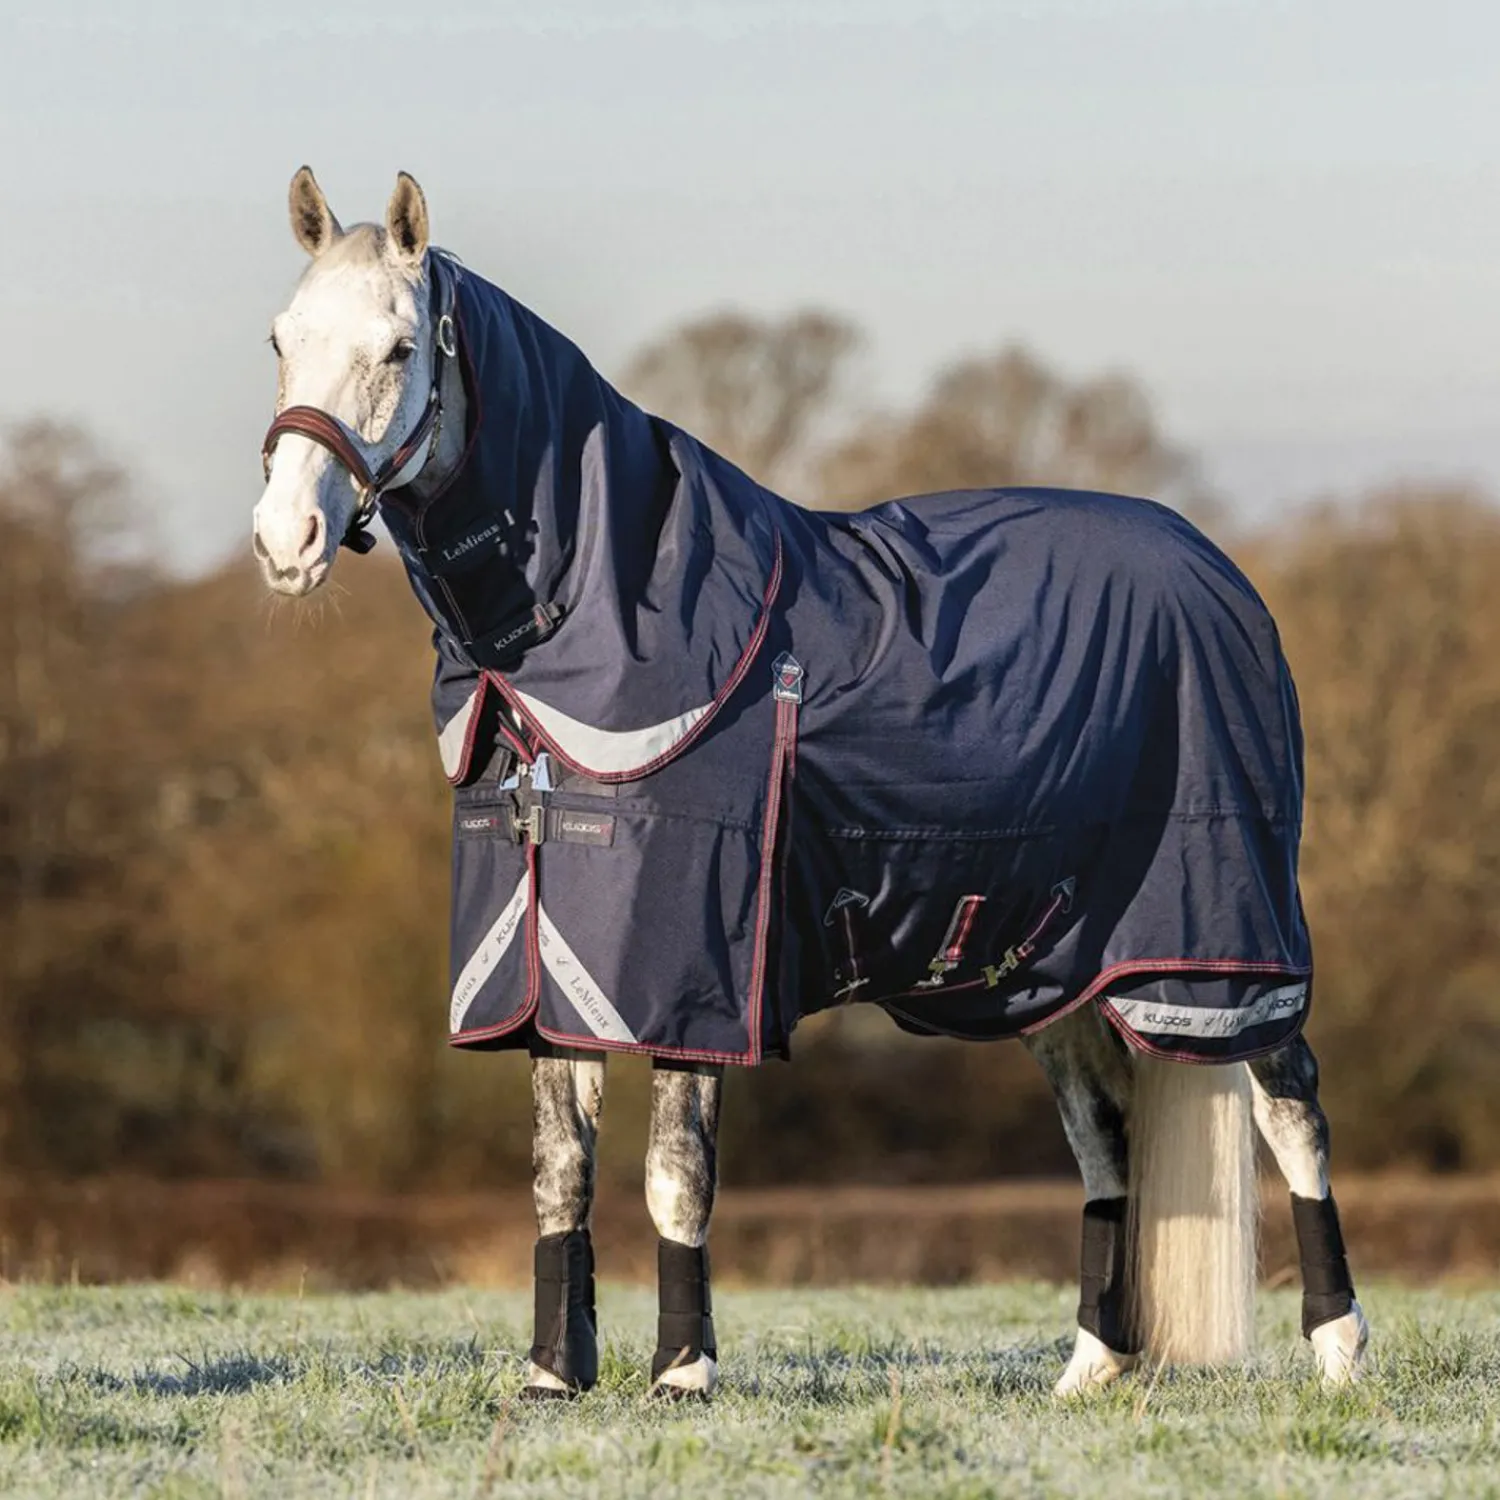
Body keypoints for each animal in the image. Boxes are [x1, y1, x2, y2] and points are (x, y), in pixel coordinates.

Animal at [251, 168, 1369, 1401]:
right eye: (281, 339)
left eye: (402, 347)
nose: (285, 538)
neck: (588, 630)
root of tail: (1224, 576)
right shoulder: (548, 967)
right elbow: (560, 1172)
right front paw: (554, 1377)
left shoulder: (692, 966)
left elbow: (675, 1169)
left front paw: (683, 1373)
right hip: (1052, 967)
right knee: (1105, 1139)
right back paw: (1089, 1371)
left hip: (1224, 949)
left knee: (1293, 1108)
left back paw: (1341, 1355)